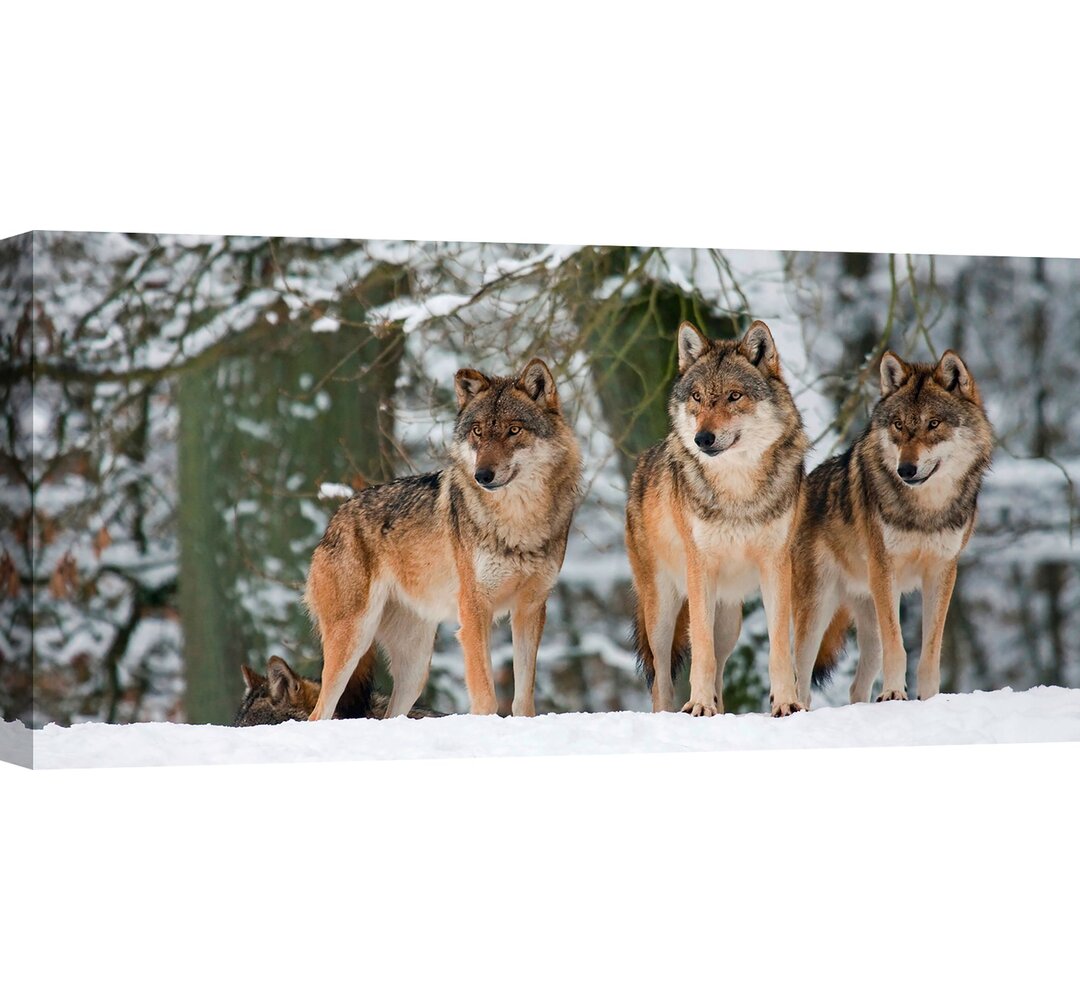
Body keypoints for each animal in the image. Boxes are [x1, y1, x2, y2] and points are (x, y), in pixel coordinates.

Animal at [304, 360, 583, 721]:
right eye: (477, 431)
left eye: (514, 430)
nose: (482, 476)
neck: (518, 522)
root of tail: (334, 520)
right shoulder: (474, 610)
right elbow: (485, 696)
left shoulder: (531, 608)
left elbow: (524, 699)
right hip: (352, 640)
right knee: (317, 713)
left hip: (416, 667)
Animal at [626, 321, 812, 721]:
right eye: (697, 397)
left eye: (733, 396)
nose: (703, 438)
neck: (737, 491)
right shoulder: (700, 568)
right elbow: (700, 652)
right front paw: (697, 705)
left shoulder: (777, 565)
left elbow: (779, 647)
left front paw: (786, 703)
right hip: (662, 614)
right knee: (662, 677)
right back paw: (672, 712)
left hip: (729, 622)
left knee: (721, 669)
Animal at [794, 349, 993, 704]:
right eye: (898, 424)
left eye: (933, 423)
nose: (906, 470)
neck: (925, 510)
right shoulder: (886, 570)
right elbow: (897, 646)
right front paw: (893, 693)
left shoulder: (942, 572)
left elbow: (930, 651)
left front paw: (928, 699)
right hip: (816, 611)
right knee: (799, 678)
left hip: (866, 620)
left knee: (856, 685)